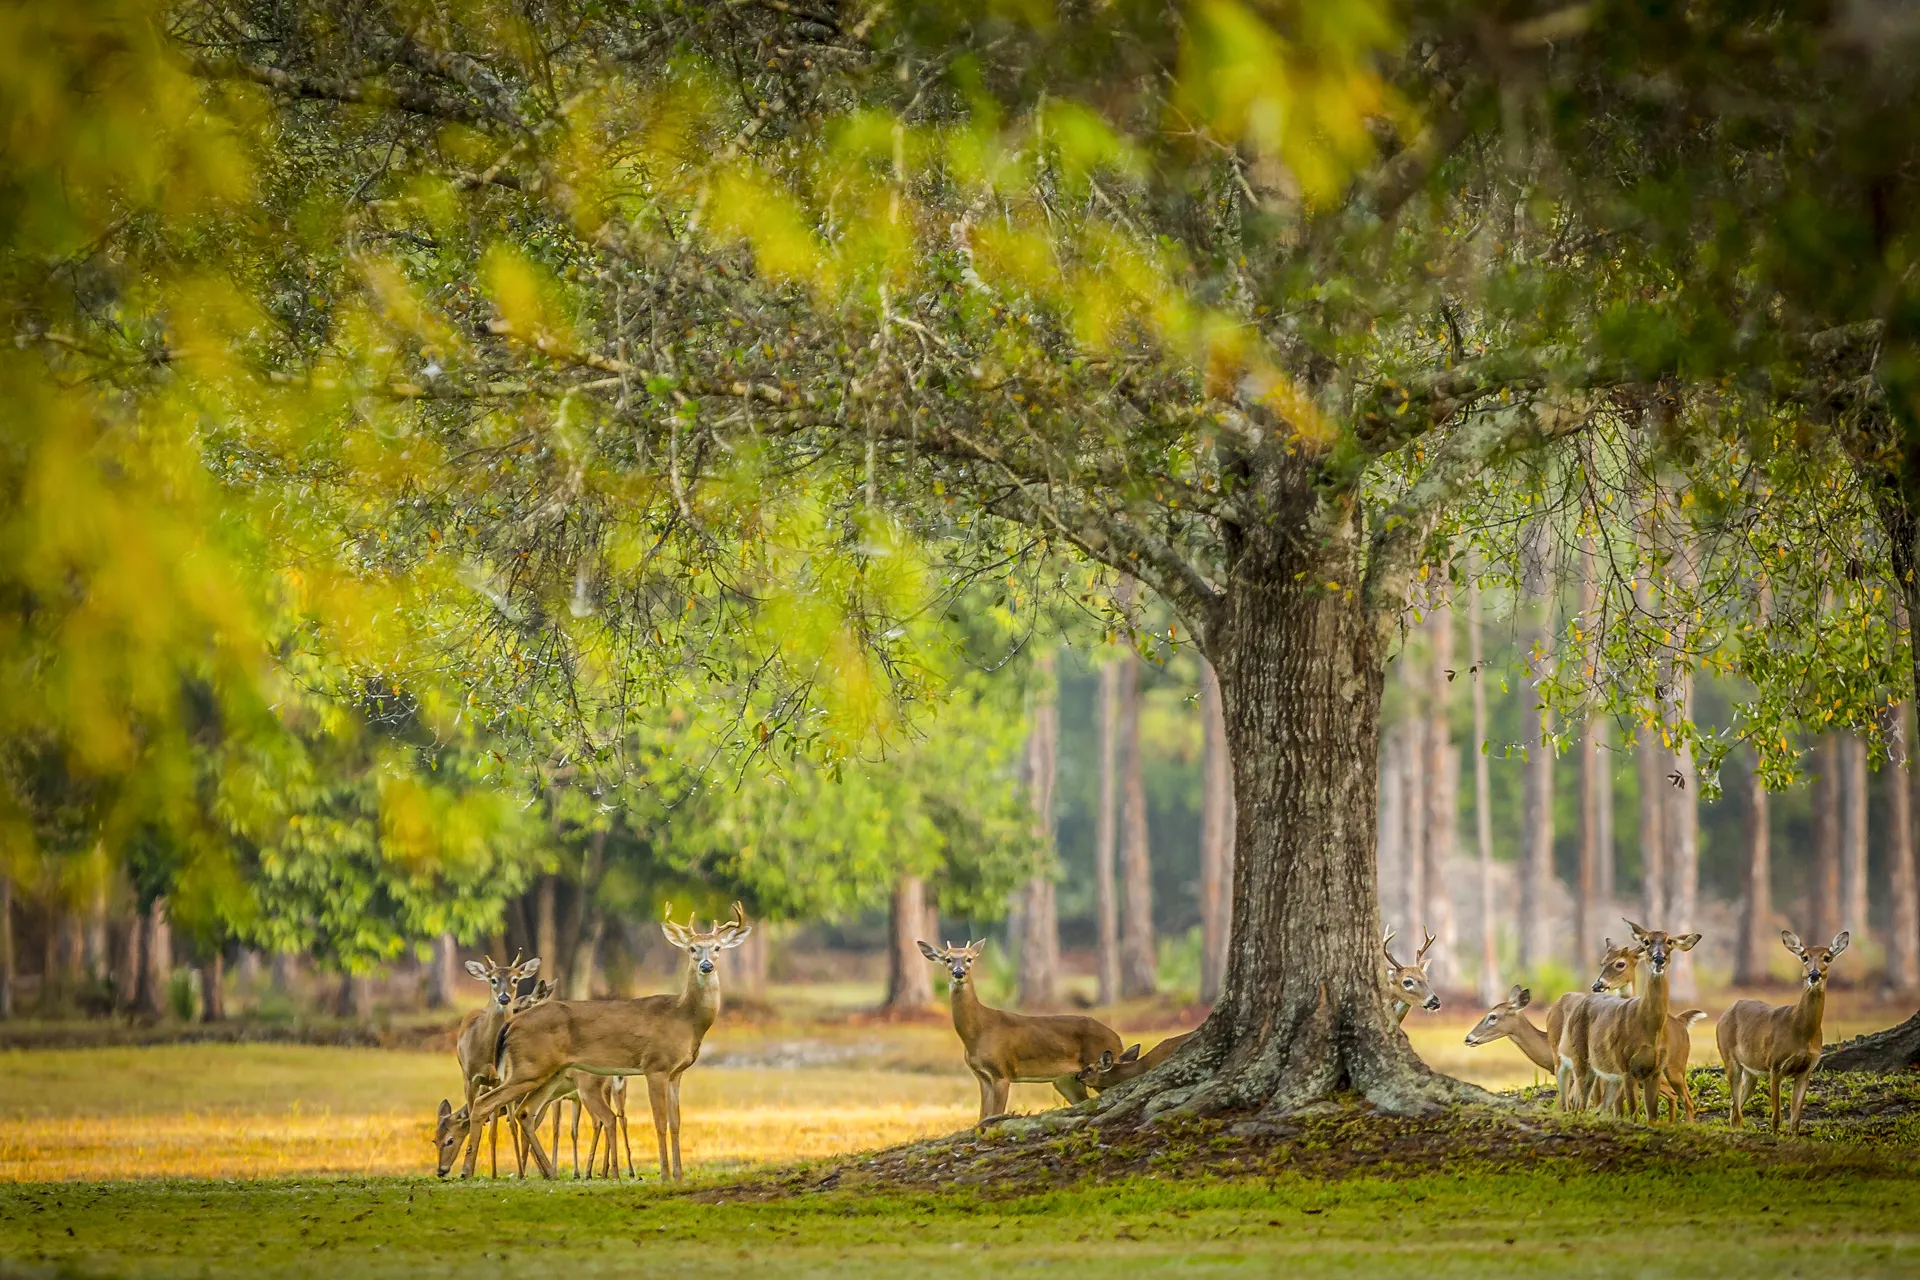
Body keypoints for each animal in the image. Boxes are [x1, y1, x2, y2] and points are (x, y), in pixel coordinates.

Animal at [434, 952, 541, 1179]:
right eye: (434, 1140)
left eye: (515, 979)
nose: (441, 1170)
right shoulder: (471, 1079)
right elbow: (477, 1121)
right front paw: (471, 1170)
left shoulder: (501, 1079)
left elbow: (502, 1127)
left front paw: (518, 1173)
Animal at [469, 903, 752, 1181]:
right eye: (692, 948)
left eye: (717, 948)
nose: (706, 965)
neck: (684, 1017)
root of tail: (510, 1024)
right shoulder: (655, 1066)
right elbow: (659, 1122)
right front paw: (665, 1175)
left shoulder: (676, 1073)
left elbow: (676, 1124)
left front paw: (679, 1176)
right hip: (531, 1066)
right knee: (485, 1103)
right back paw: (468, 1171)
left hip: (551, 1072)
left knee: (525, 1112)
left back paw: (550, 1173)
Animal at [917, 940, 1122, 1122]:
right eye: (947, 959)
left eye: (969, 959)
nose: (958, 973)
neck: (978, 1032)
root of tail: (1118, 1039)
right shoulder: (981, 1076)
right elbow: (981, 1119)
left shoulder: (1002, 1072)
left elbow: (994, 1116)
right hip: (1065, 1080)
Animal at [1570, 920, 1700, 1123]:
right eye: (1646, 941)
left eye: (1669, 941)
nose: (1658, 958)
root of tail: (1681, 1021)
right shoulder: (1625, 1068)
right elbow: (1628, 1112)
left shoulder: (1653, 1071)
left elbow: (1649, 1115)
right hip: (1584, 1061)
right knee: (1583, 1102)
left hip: (1676, 1067)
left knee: (1685, 1099)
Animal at [1718, 929, 1850, 1136]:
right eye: (1804, 957)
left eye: (1827, 957)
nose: (1814, 974)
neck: (1801, 1032)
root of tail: (1724, 1013)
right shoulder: (1775, 1065)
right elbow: (1776, 1117)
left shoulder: (1806, 1070)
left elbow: (1795, 1120)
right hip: (1729, 1058)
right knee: (1736, 1108)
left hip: (1751, 1071)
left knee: (1734, 1106)